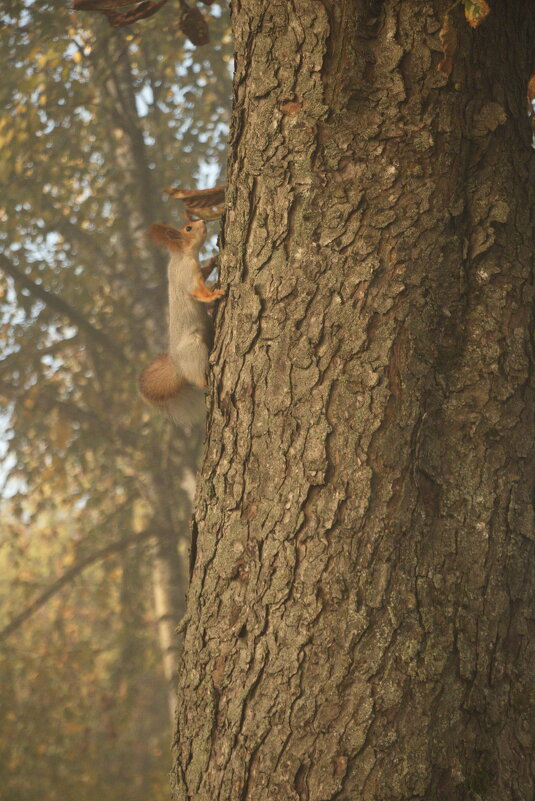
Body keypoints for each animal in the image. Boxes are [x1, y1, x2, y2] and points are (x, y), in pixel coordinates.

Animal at [139, 219, 223, 424]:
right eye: (188, 228)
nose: (204, 220)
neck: (182, 255)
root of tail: (178, 365)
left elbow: (204, 272)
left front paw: (212, 261)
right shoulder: (188, 276)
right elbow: (198, 292)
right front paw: (214, 294)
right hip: (193, 350)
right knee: (198, 378)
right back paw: (205, 380)